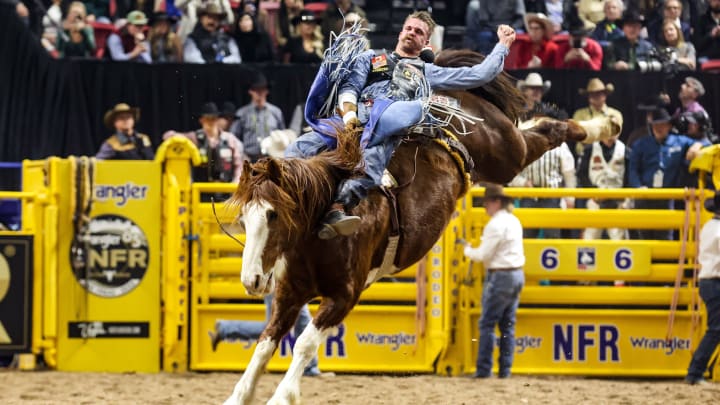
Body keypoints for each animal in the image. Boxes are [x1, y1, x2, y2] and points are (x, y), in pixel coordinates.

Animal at [224, 50, 612, 404]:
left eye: (273, 215)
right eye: (243, 219)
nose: (251, 280)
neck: (322, 222)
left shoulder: (345, 296)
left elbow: (304, 344)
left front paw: (282, 396)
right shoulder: (290, 292)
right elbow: (265, 343)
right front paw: (239, 395)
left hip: (506, 153)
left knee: (547, 132)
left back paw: (602, 127)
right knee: (533, 127)